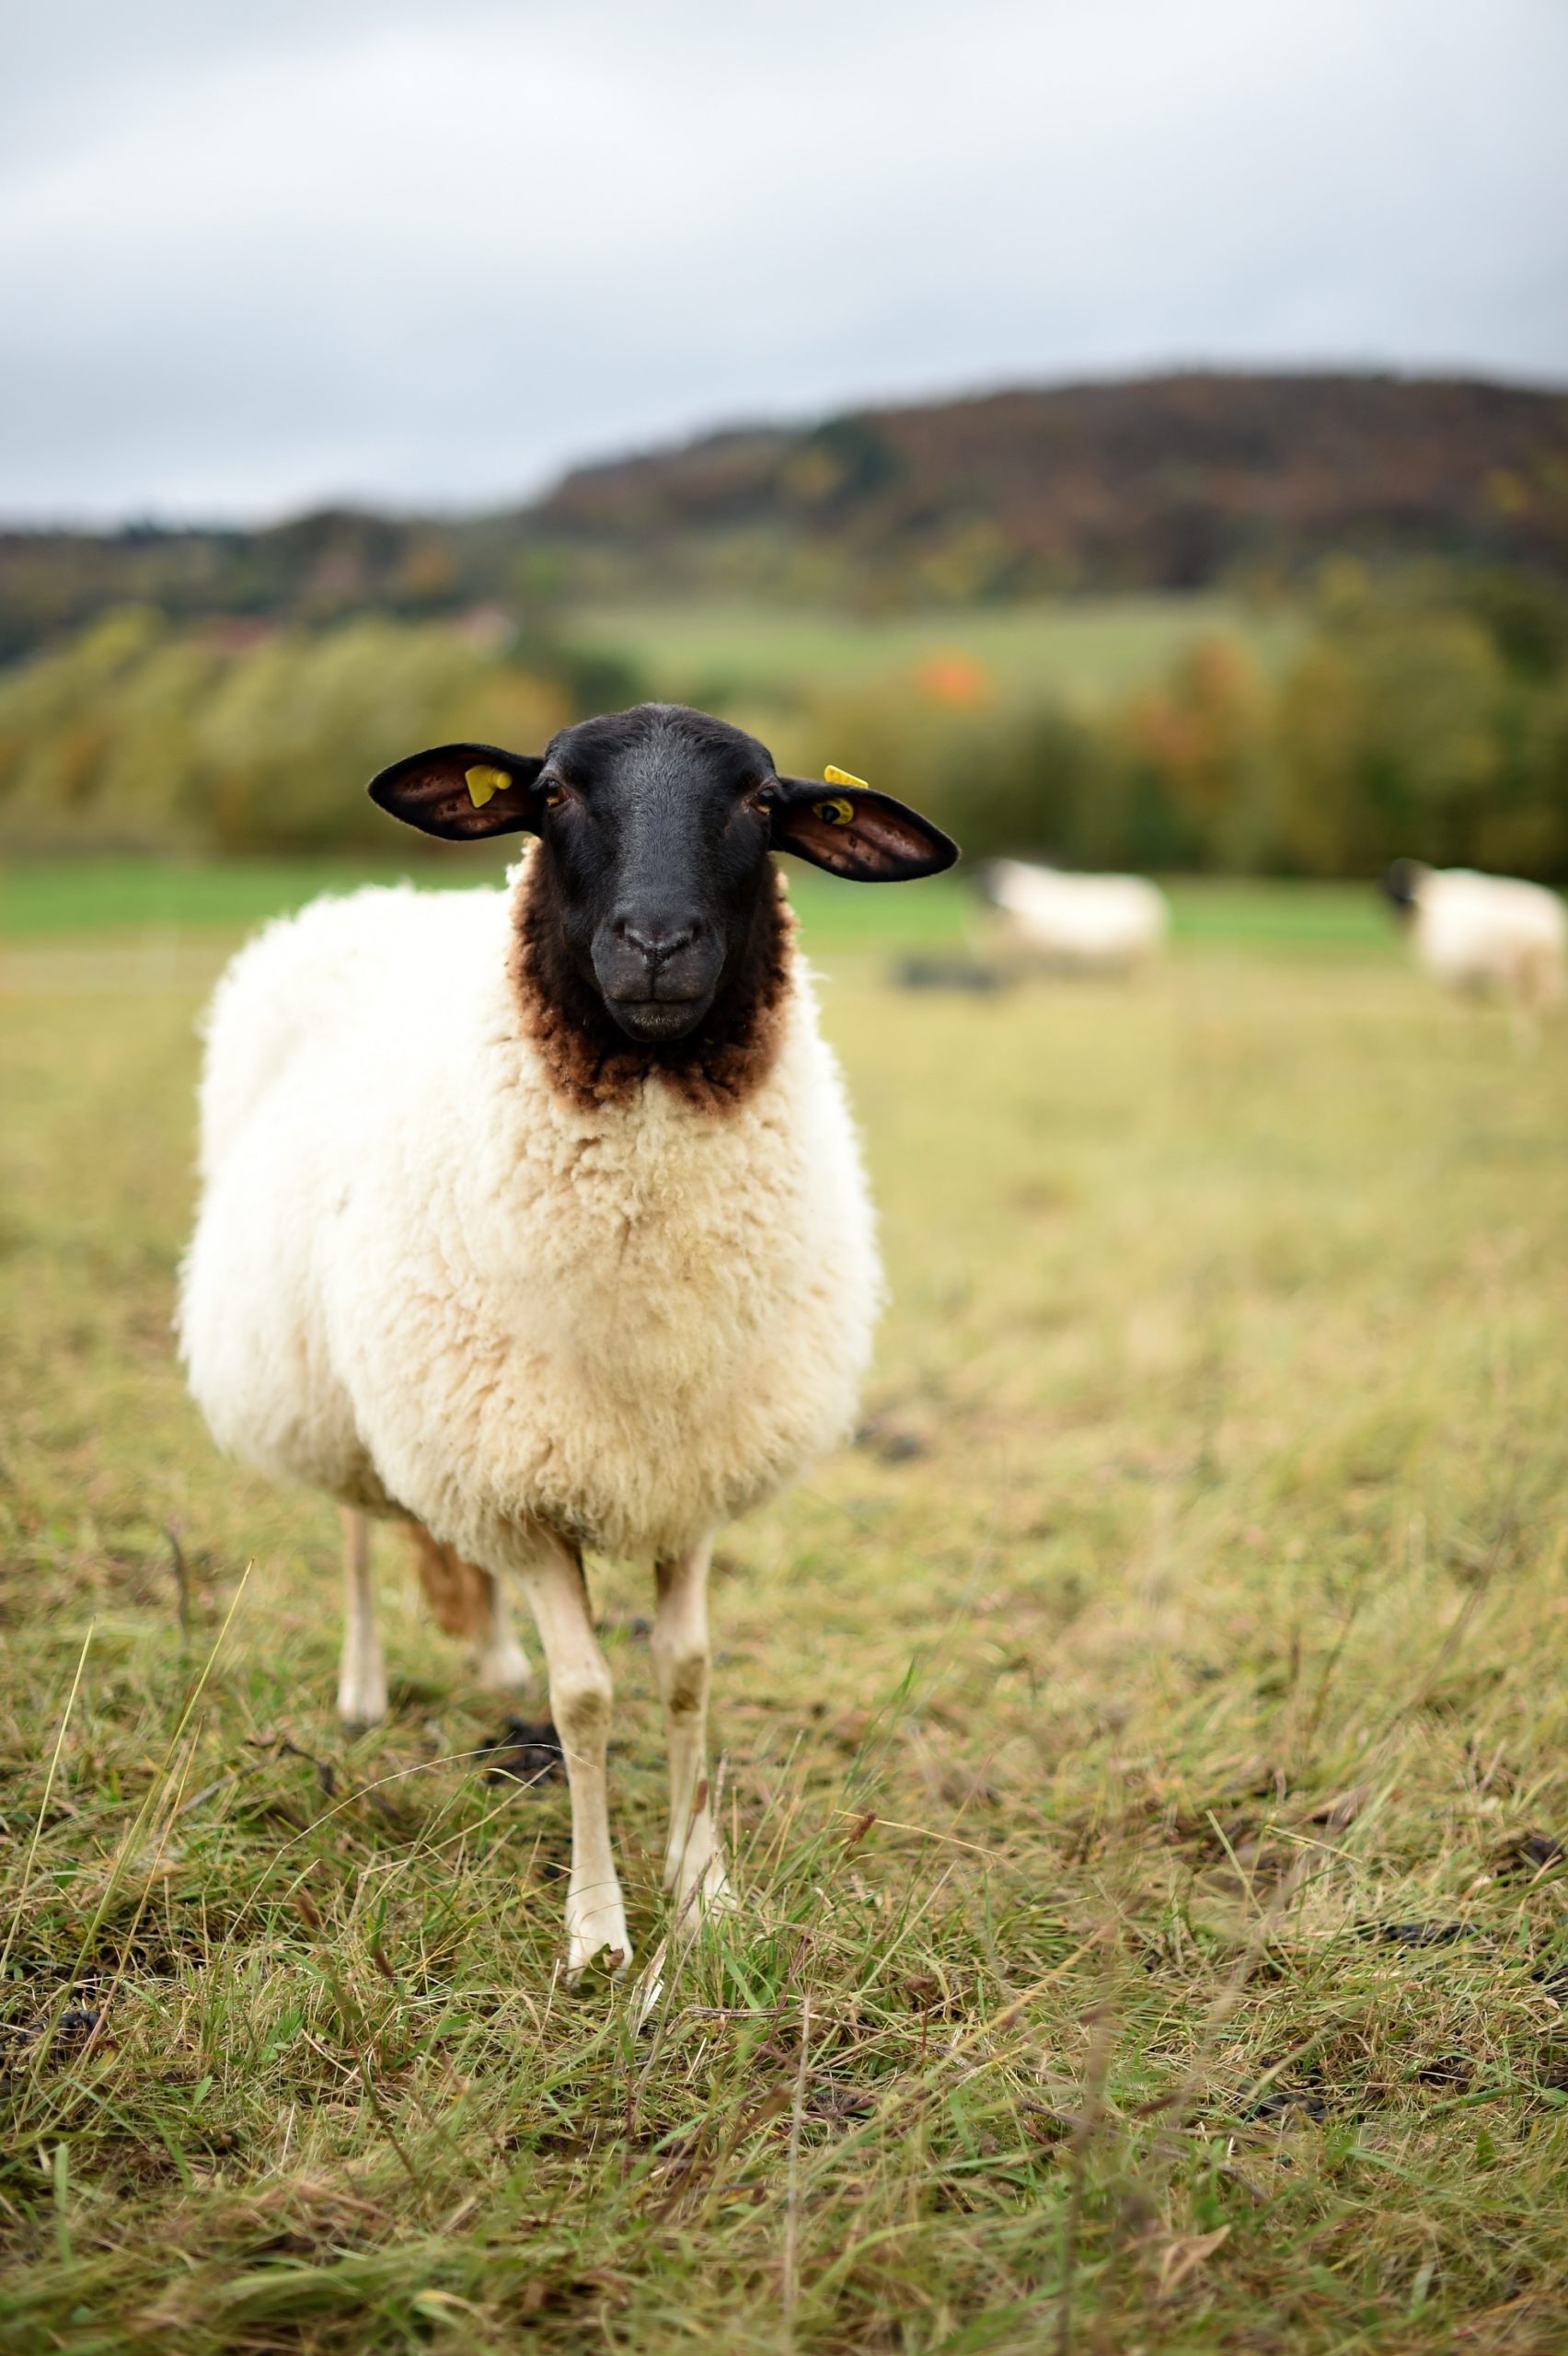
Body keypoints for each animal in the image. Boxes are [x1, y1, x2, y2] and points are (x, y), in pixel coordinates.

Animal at [174, 707, 951, 1979]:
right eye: (551, 795)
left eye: (760, 803)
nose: (656, 942)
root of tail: (382, 899)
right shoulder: (531, 1494)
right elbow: (585, 1696)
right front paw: (597, 1930)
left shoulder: (682, 1469)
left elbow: (685, 1672)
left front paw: (705, 1890)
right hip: (343, 1381)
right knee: (357, 1534)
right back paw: (363, 1688)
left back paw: (491, 1662)